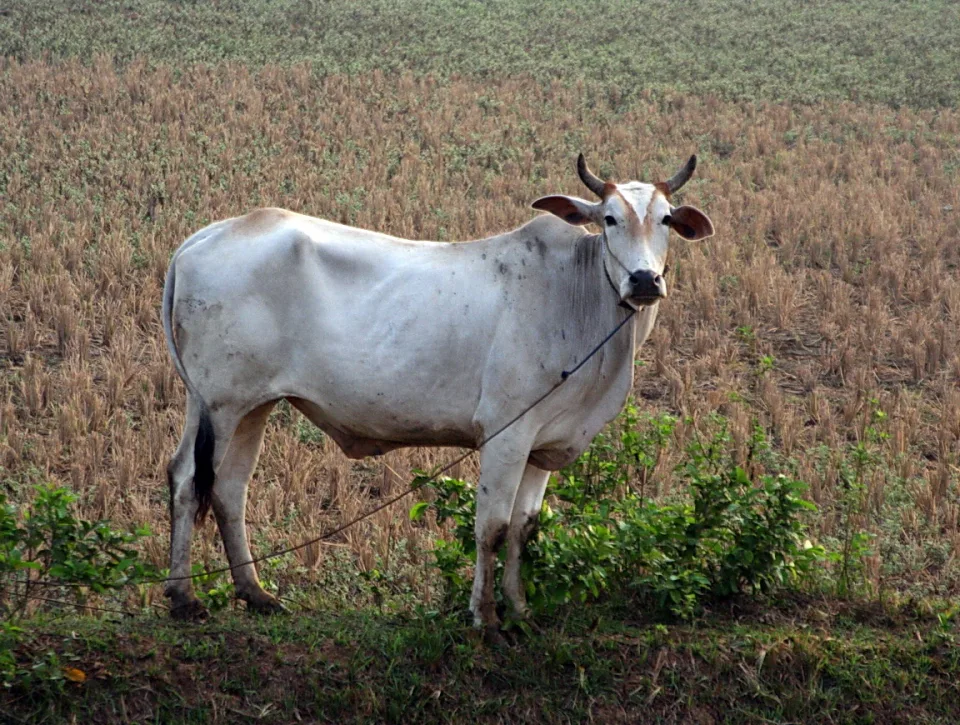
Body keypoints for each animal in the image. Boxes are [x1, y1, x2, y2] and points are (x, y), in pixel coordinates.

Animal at [162, 154, 714, 632]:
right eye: (609, 219)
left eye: (666, 219)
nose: (644, 280)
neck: (581, 299)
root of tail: (204, 238)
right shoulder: (507, 434)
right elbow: (492, 527)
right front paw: (486, 619)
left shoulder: (544, 444)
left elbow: (523, 528)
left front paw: (520, 611)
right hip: (219, 404)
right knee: (190, 480)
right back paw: (183, 597)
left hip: (249, 406)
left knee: (228, 489)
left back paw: (255, 594)